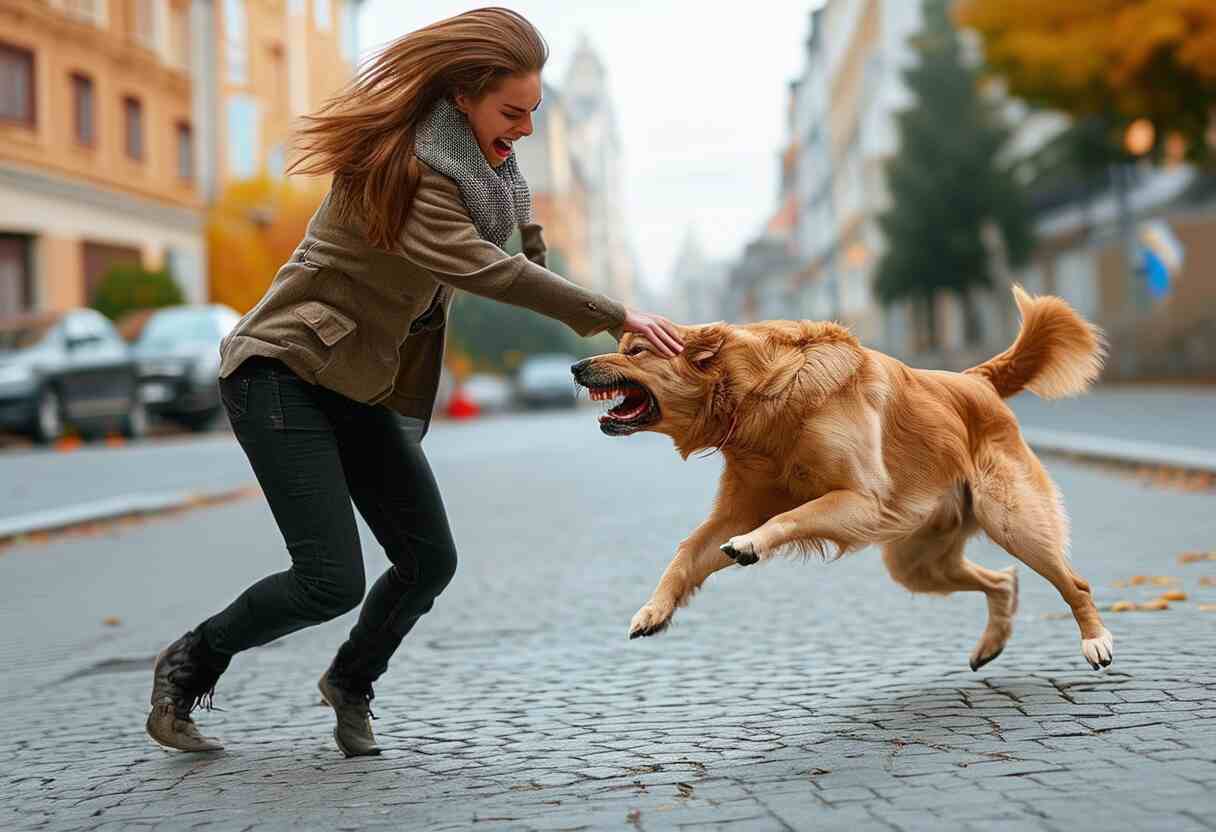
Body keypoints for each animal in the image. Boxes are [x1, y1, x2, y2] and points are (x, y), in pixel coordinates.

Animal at [573, 285, 1113, 671]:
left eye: (635, 350)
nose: (576, 366)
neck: (765, 397)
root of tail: (975, 381)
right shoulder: (735, 512)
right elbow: (685, 554)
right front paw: (654, 609)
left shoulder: (862, 501)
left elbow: (789, 516)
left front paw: (752, 545)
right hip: (915, 562)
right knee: (1002, 580)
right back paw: (992, 642)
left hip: (1011, 521)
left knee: (1075, 583)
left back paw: (1096, 641)